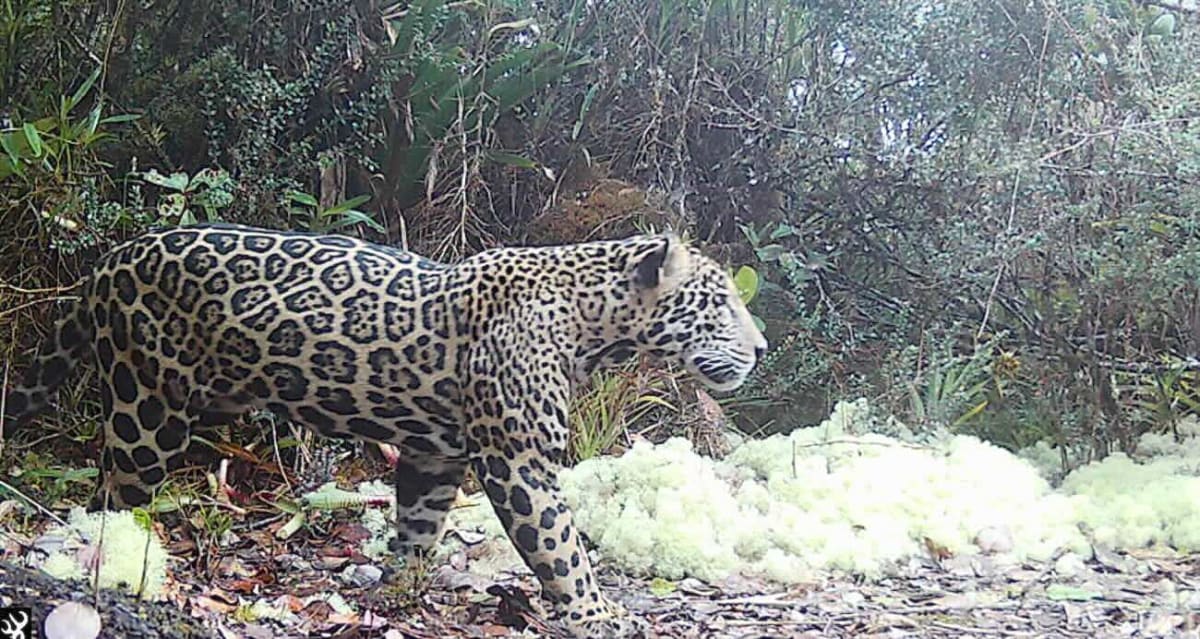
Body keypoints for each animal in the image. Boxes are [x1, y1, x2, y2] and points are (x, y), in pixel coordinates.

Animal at [3, 223, 767, 638]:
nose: (761, 348)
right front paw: (597, 612)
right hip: (149, 406)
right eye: (720, 303)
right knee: (115, 493)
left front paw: (400, 588)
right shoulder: (518, 459)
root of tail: (108, 260)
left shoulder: (435, 453)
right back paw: (122, 562)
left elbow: (420, 525)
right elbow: (563, 548)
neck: (592, 325)